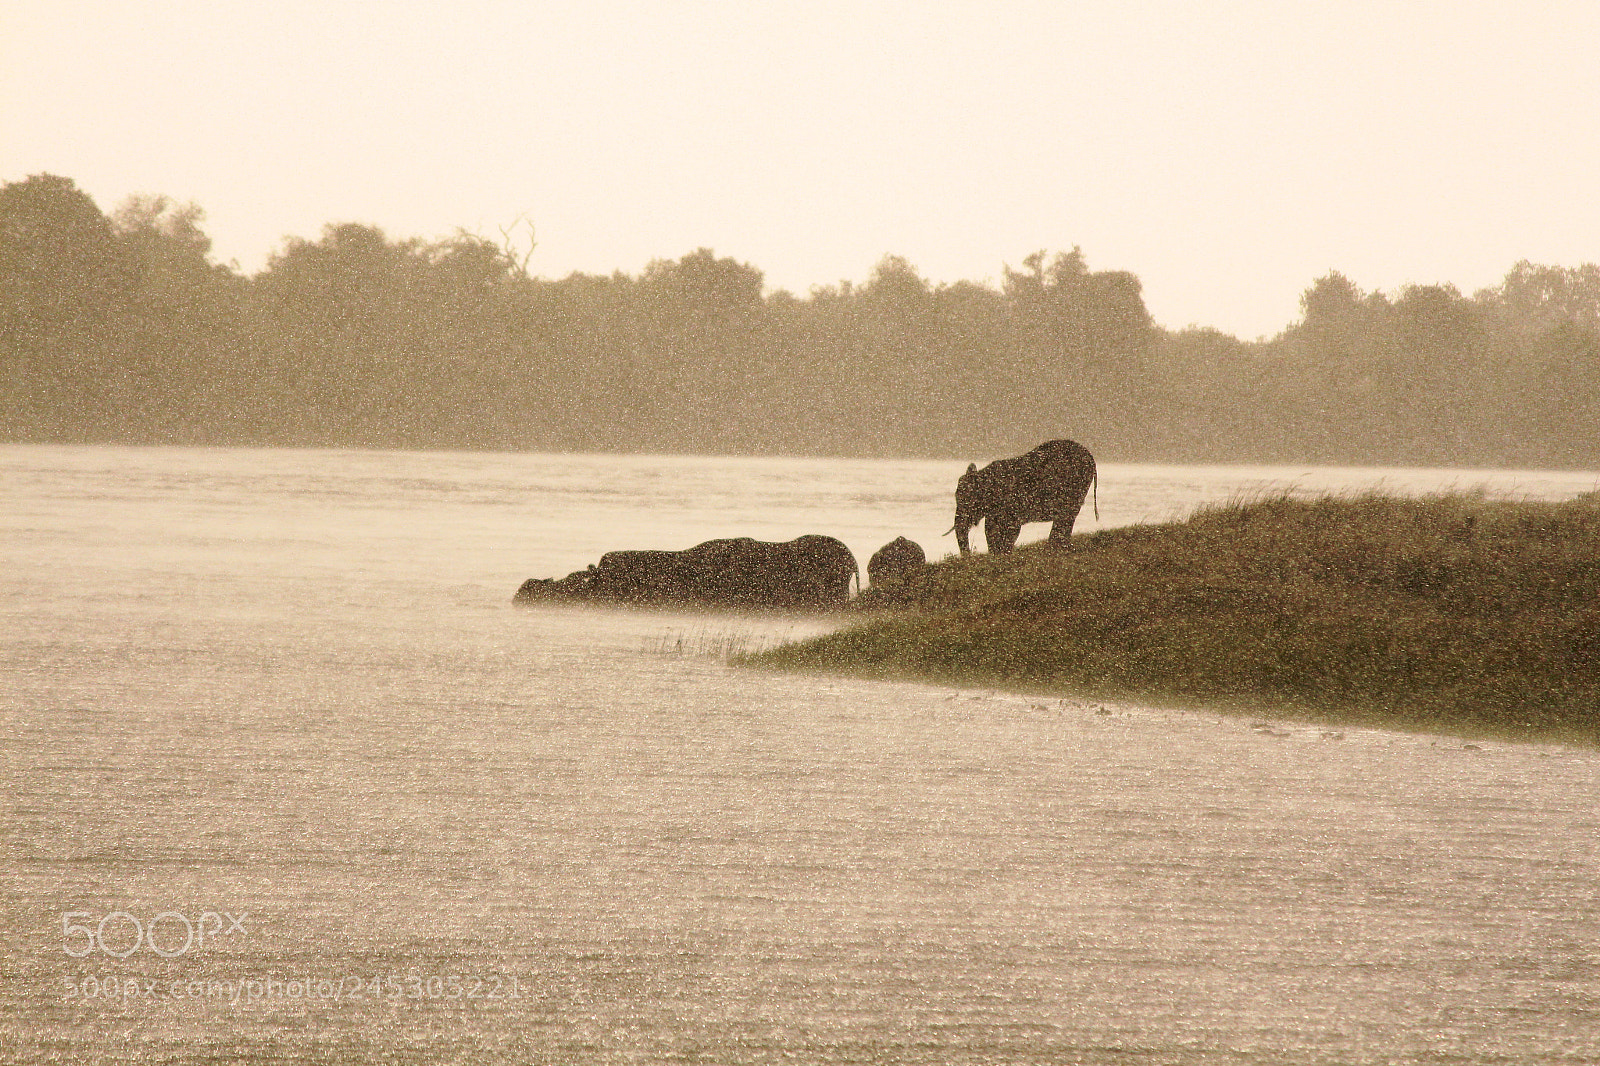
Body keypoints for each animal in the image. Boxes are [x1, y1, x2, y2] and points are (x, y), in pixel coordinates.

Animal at [951, 439, 1098, 554]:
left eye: (971, 502)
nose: (968, 555)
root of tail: (1091, 457)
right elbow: (992, 528)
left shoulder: (1010, 501)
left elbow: (1009, 528)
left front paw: (1002, 554)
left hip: (1076, 485)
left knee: (1066, 515)